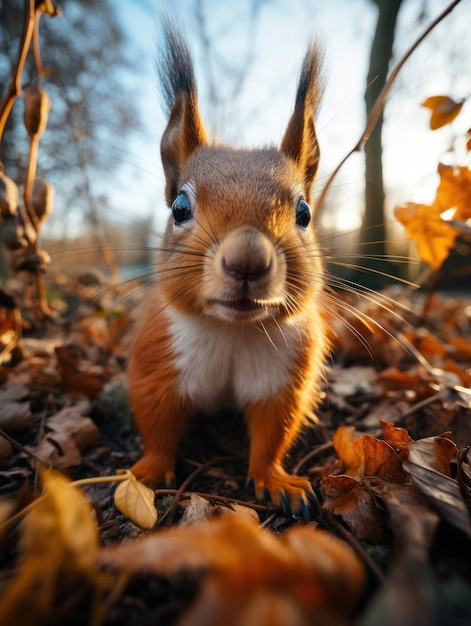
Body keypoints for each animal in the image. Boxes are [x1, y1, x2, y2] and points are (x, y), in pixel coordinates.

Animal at [127, 20, 330, 512]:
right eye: (180, 208)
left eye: (304, 213)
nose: (247, 260)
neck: (233, 331)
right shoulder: (155, 363)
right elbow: (156, 422)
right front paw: (147, 472)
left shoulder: (284, 378)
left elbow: (274, 432)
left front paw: (276, 481)